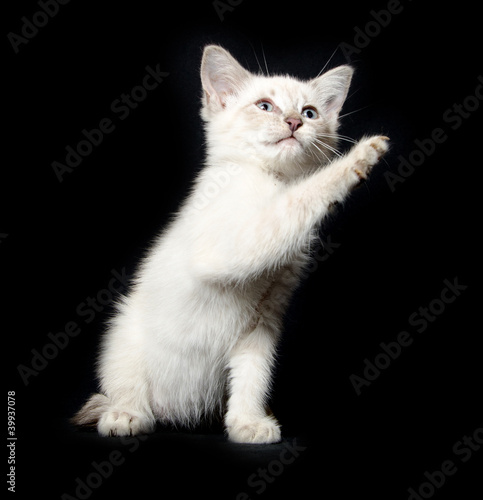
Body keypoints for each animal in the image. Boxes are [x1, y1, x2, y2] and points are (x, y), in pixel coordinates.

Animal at [73, 43, 390, 442]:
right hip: (122, 331)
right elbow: (298, 200)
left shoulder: (265, 318)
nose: (294, 123)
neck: (273, 178)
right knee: (123, 387)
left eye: (310, 112)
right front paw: (360, 157)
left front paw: (247, 423)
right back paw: (125, 414)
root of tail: (173, 412)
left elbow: (255, 374)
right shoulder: (227, 248)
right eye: (265, 106)